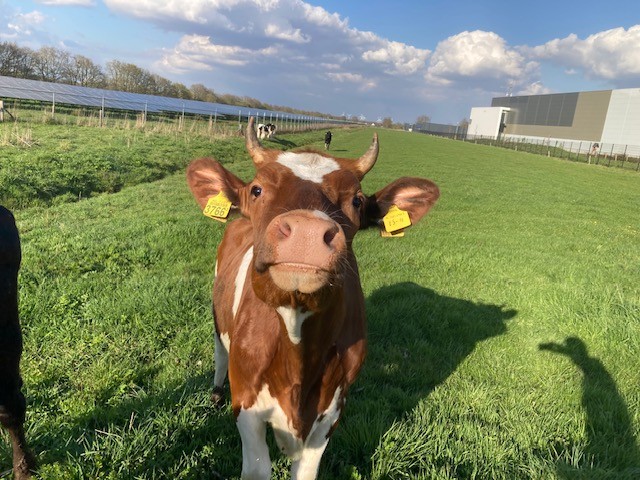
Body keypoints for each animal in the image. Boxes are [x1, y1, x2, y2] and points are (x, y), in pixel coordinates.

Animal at [186, 117, 439, 479]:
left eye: (357, 201)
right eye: (257, 190)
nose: (306, 233)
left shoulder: (331, 411)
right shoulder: (247, 403)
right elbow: (257, 469)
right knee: (220, 351)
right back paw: (216, 393)